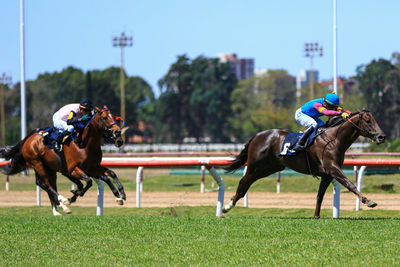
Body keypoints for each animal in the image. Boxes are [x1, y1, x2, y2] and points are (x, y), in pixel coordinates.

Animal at [223, 110, 386, 219]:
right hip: (255, 166)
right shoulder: (332, 168)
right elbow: (349, 184)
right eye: (368, 121)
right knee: (243, 182)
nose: (381, 137)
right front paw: (368, 201)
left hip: (269, 168)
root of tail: (257, 135)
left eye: (376, 120)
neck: (333, 139)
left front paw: (316, 216)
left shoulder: (327, 175)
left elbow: (320, 195)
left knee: (247, 182)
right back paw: (226, 207)